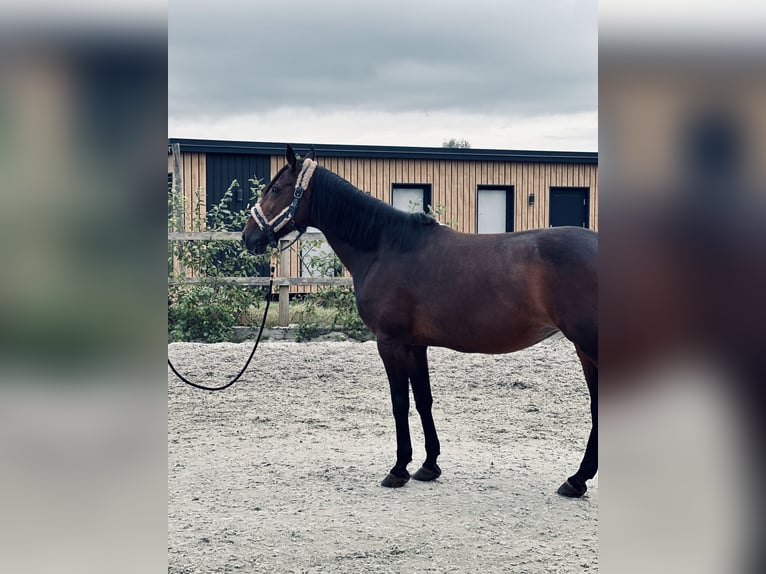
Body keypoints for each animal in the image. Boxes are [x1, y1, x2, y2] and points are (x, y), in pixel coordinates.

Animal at [242, 145, 600, 500]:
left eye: (276, 189)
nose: (249, 236)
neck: (384, 247)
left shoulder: (391, 342)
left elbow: (400, 402)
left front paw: (398, 468)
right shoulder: (416, 345)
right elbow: (423, 400)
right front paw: (429, 465)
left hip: (589, 345)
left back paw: (577, 479)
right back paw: (578, 479)